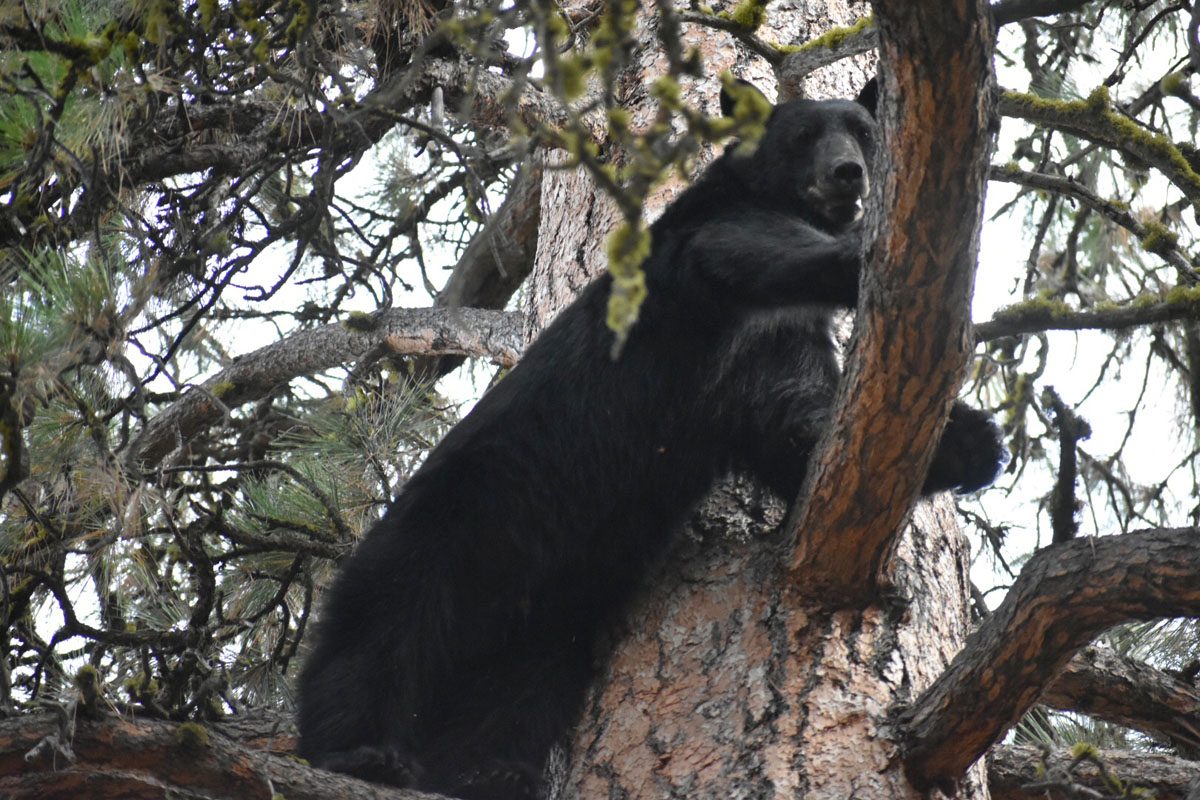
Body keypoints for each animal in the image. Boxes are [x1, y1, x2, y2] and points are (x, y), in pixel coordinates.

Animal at [297, 82, 1003, 800]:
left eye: (863, 131)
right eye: (805, 135)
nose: (848, 174)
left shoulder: (770, 350)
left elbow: (797, 427)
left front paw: (969, 444)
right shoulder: (709, 251)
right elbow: (759, 255)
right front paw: (870, 257)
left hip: (548, 620)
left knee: (514, 693)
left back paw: (487, 769)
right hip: (448, 530)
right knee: (377, 637)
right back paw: (361, 754)